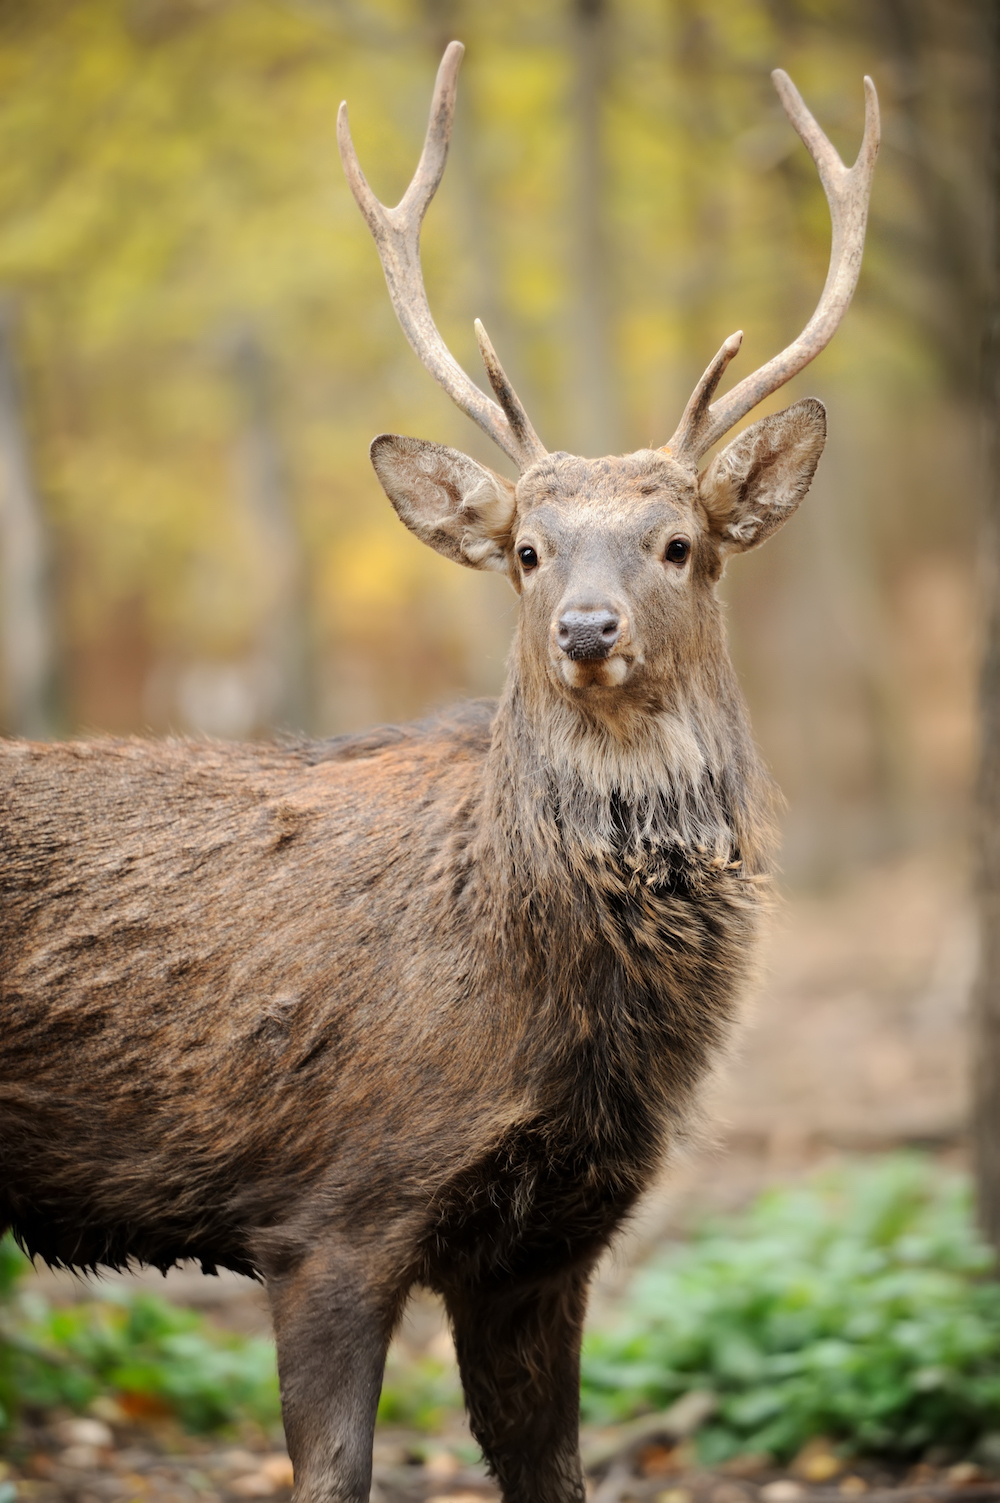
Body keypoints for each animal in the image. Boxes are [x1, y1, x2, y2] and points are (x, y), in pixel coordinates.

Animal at [0, 41, 872, 1503]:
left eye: (679, 542)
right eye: (525, 548)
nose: (588, 627)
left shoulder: (553, 1236)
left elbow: (554, 1471)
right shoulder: (327, 1210)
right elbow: (334, 1470)